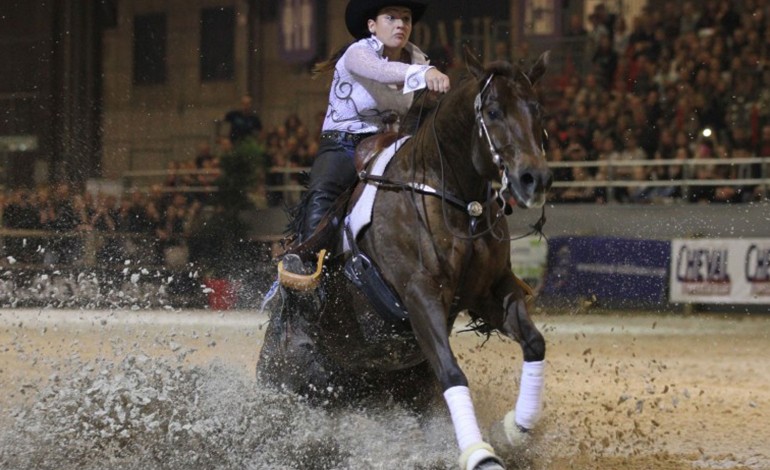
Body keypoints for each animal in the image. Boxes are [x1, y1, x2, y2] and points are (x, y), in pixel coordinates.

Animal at [258, 48, 552, 470]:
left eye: (537, 109)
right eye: (494, 112)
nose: (534, 179)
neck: (451, 198)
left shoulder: (492, 291)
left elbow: (534, 343)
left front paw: (512, 429)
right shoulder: (419, 295)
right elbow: (451, 372)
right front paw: (481, 455)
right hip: (292, 377)